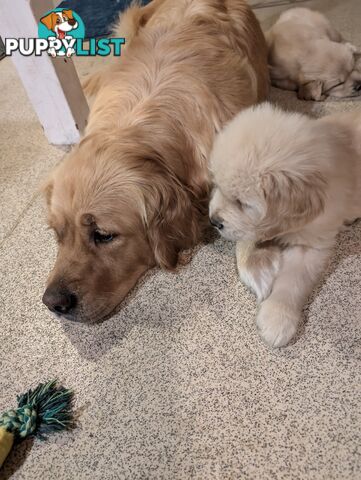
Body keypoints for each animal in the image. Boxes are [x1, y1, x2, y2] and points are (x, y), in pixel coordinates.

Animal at [208, 103, 360, 346]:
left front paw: (277, 319)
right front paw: (259, 272)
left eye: (242, 203)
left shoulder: (312, 244)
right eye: (217, 185)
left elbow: (292, 280)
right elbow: (245, 243)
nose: (213, 221)